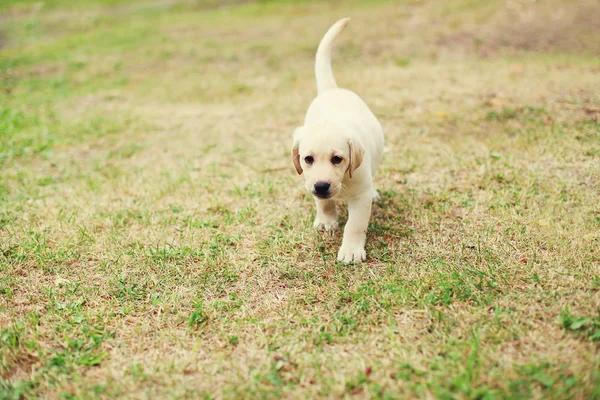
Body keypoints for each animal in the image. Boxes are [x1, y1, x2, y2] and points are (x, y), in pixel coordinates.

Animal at [290, 18, 384, 264]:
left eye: (337, 159)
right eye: (308, 159)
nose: (322, 186)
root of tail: (332, 89)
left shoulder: (360, 195)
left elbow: (355, 224)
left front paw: (351, 249)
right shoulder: (311, 181)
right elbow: (323, 202)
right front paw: (326, 220)